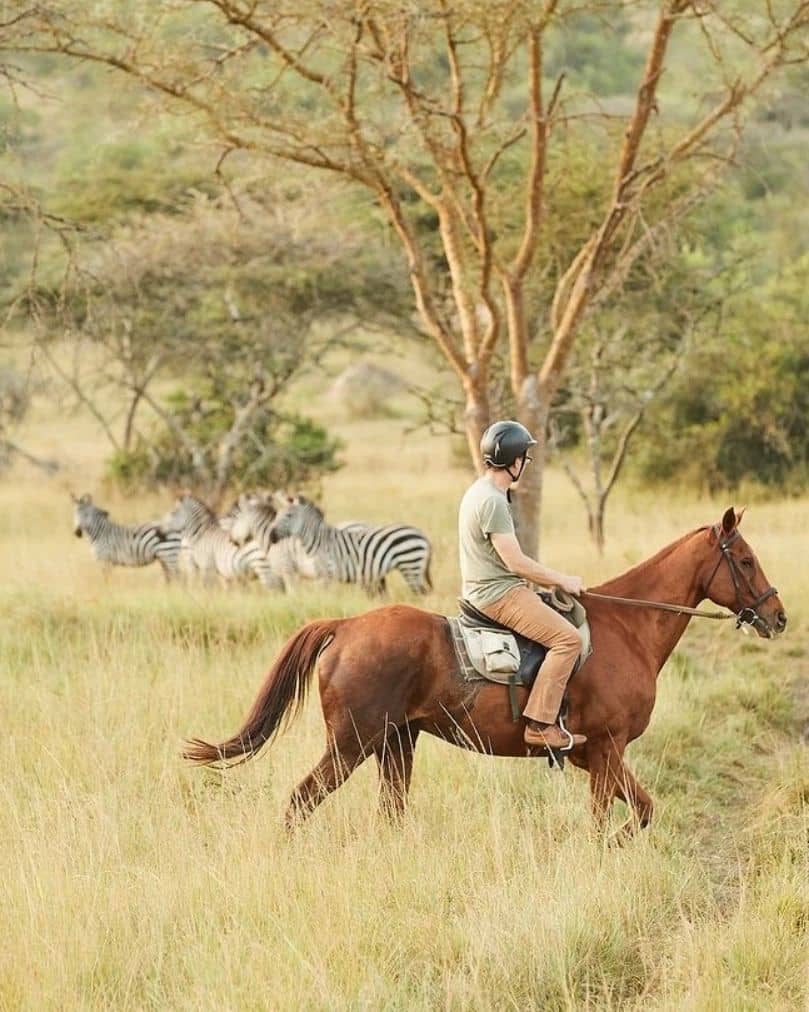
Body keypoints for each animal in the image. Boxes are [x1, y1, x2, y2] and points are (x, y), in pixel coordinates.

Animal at [266, 494, 432, 595]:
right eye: (277, 514)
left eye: (289, 515)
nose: (271, 536)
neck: (318, 541)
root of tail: (423, 535)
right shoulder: (320, 576)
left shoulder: (325, 575)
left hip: (410, 566)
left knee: (422, 594)